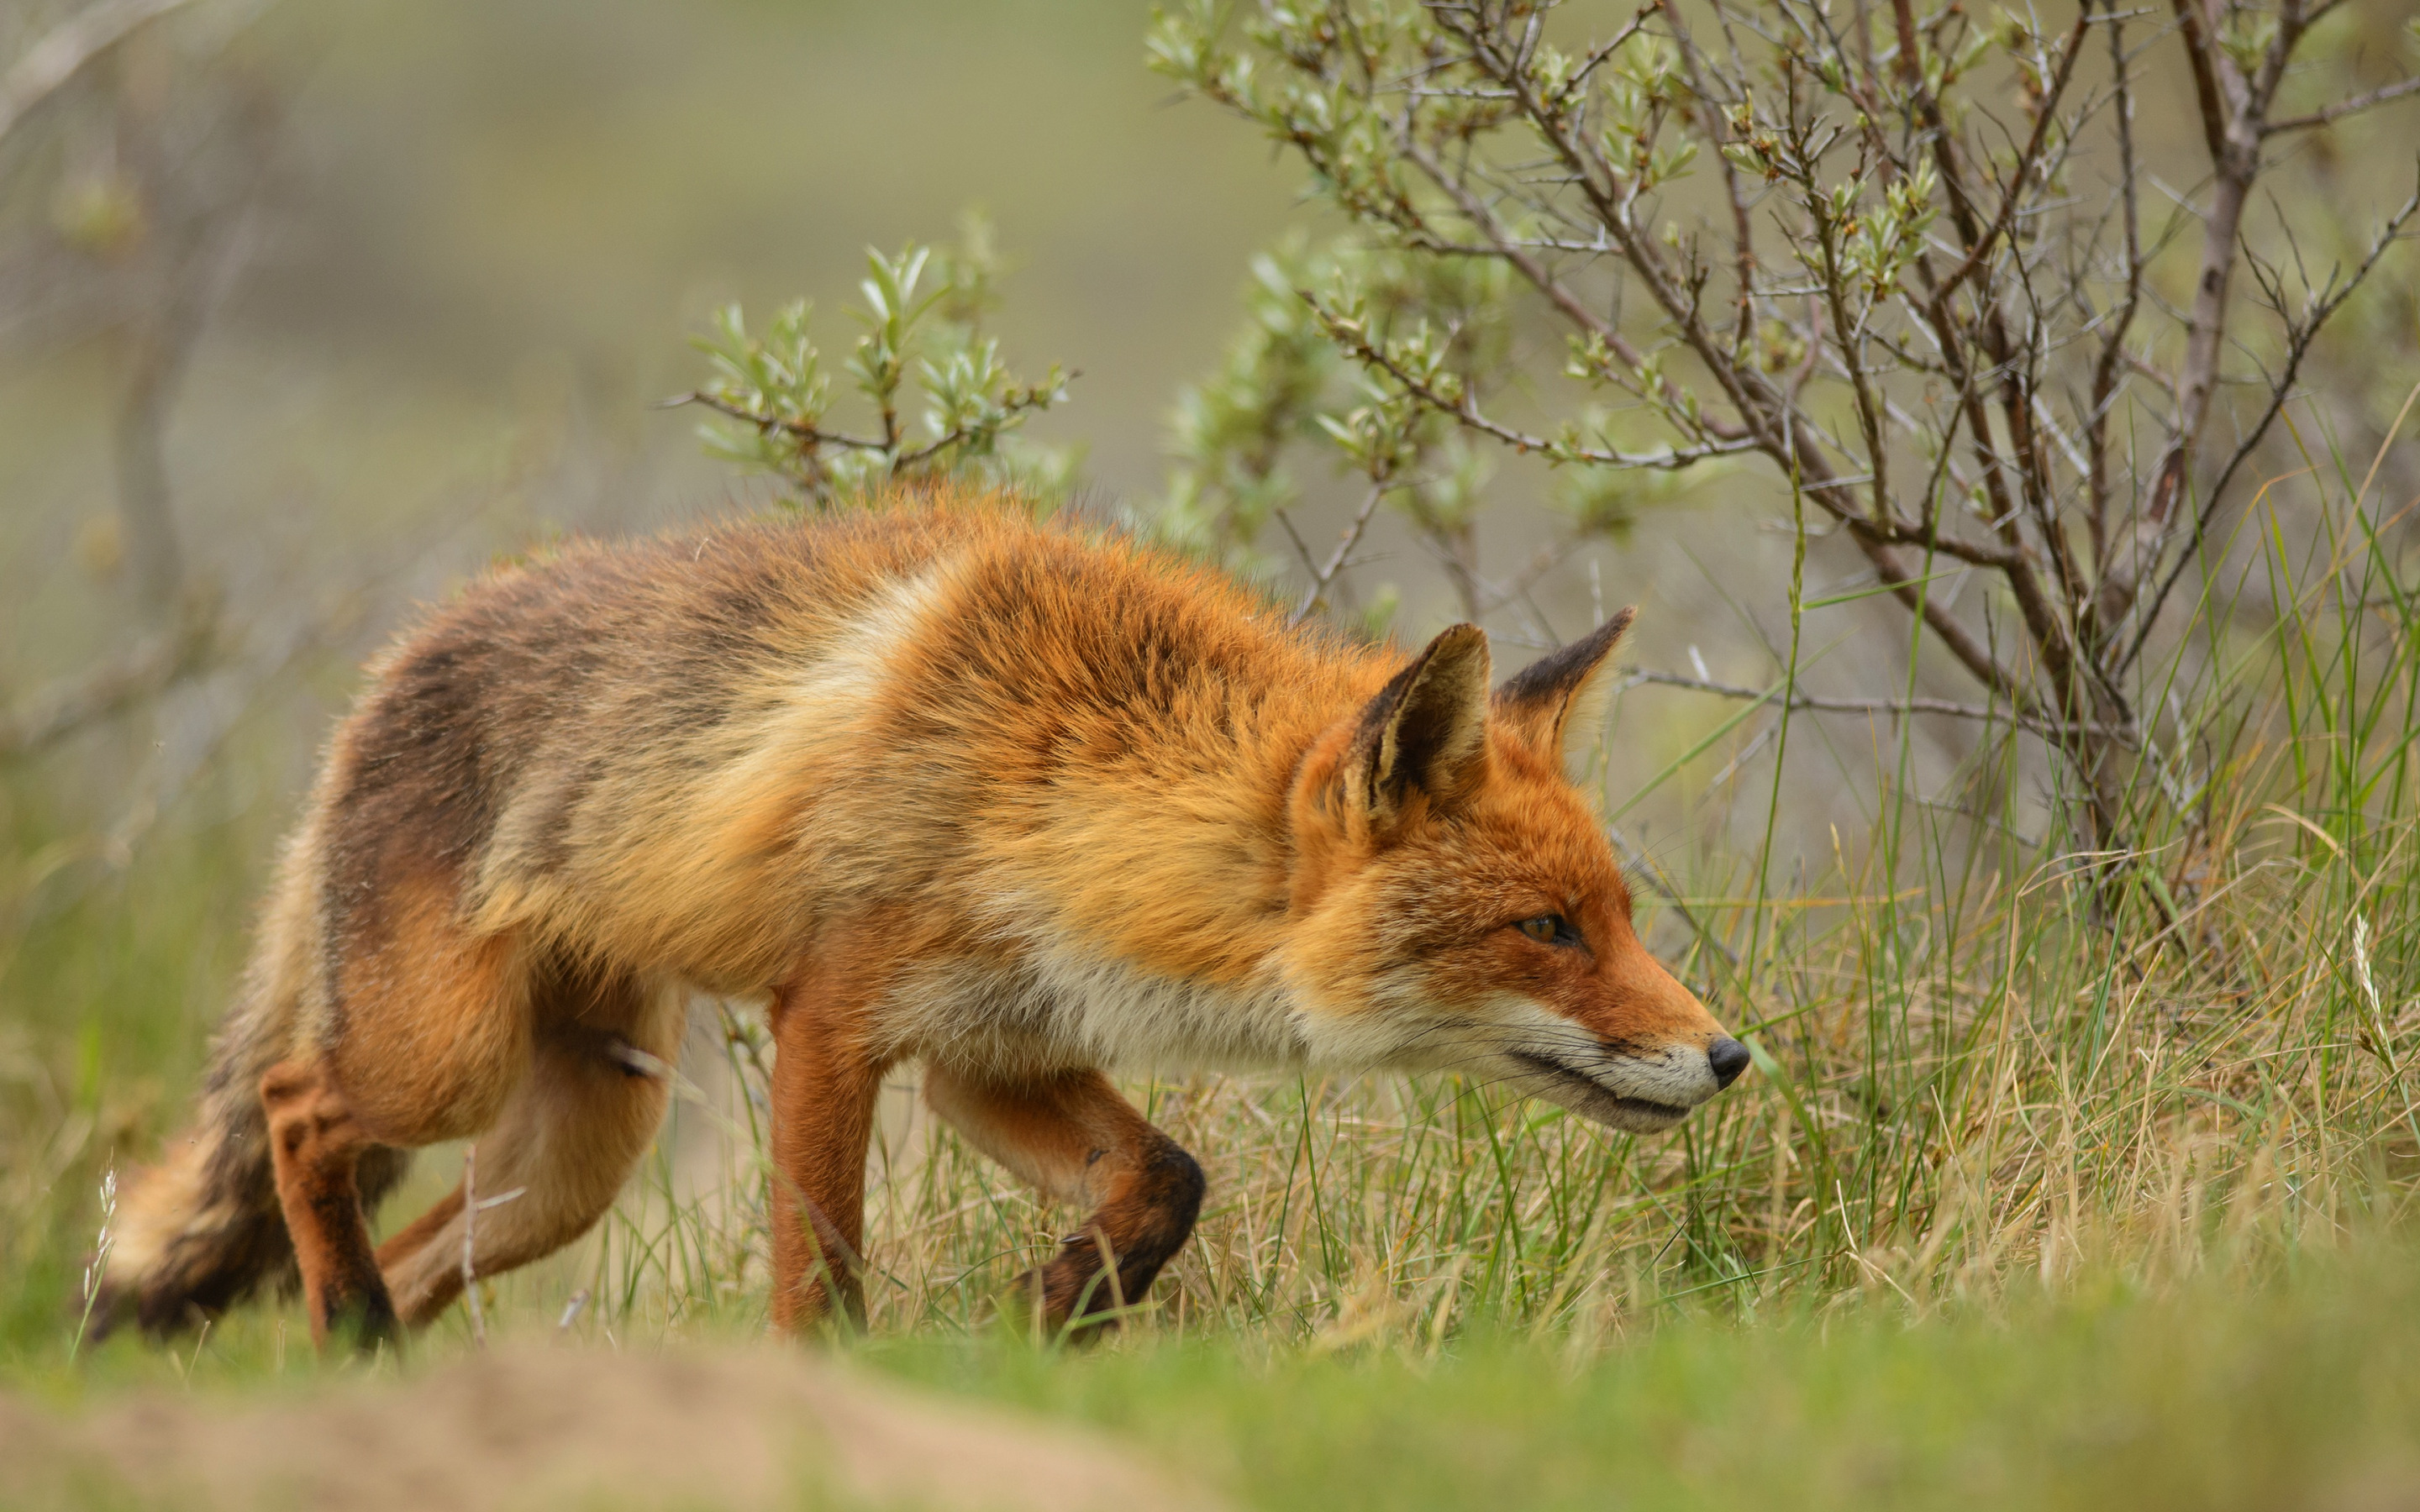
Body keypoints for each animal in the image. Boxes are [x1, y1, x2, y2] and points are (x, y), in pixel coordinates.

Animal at [94, 496, 1752, 1345]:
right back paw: (349, 1329)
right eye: (1547, 931)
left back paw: (373, 1375)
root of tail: (390, 663)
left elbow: (1169, 1181)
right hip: (443, 1064)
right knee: (291, 1107)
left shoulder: (990, 1051)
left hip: (574, 1154)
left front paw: (1055, 1311)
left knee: (427, 1243)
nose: (1734, 1058)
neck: (1050, 784)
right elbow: (818, 1282)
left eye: (1617, 914)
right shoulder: (836, 1024)